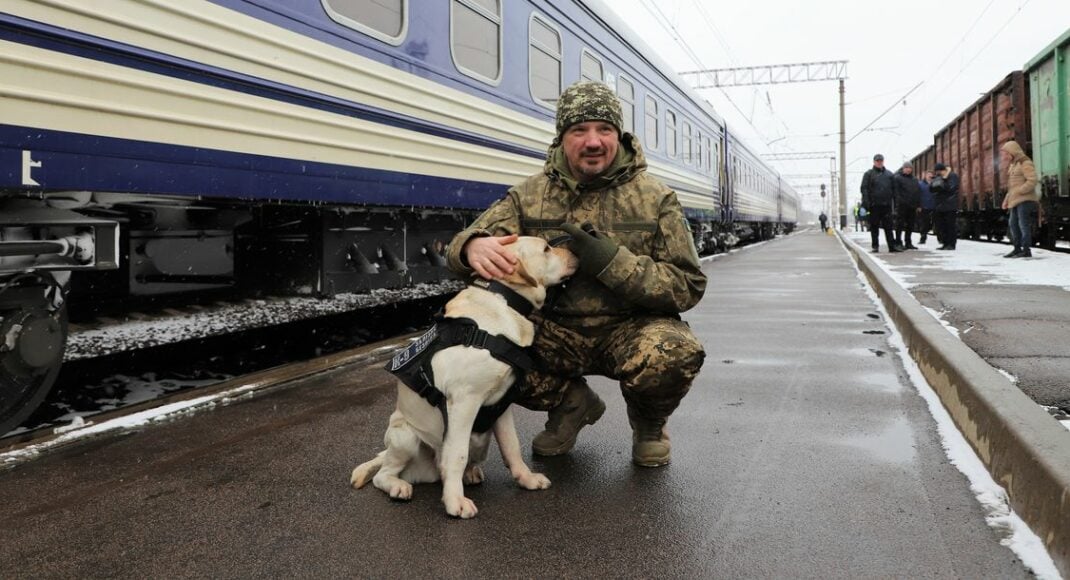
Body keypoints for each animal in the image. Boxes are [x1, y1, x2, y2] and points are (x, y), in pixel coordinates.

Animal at [353, 235, 577, 517]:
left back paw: (470, 474)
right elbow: (456, 455)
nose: (576, 251)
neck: (504, 301)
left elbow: (512, 446)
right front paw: (454, 502)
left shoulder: (502, 405)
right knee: (383, 474)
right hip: (406, 436)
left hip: (480, 439)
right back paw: (398, 486)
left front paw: (526, 479)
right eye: (546, 249)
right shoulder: (464, 402)